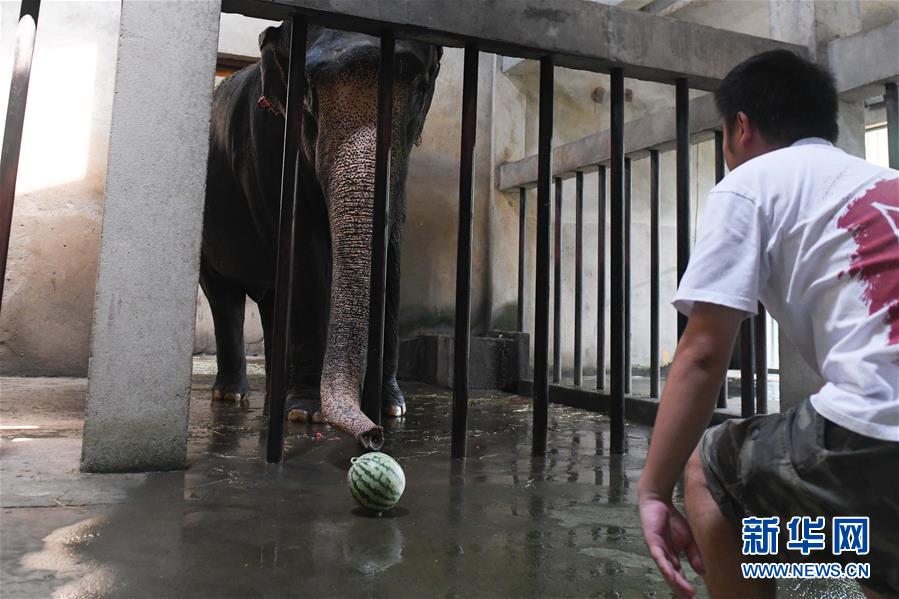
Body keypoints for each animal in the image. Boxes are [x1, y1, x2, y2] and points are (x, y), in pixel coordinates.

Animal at [202, 22, 444, 446]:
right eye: (307, 93)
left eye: (419, 87)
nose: (373, 436)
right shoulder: (270, 147)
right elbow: (306, 252)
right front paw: (306, 413)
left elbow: (392, 249)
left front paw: (391, 408)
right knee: (224, 295)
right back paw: (234, 396)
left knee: (271, 299)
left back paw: (273, 398)